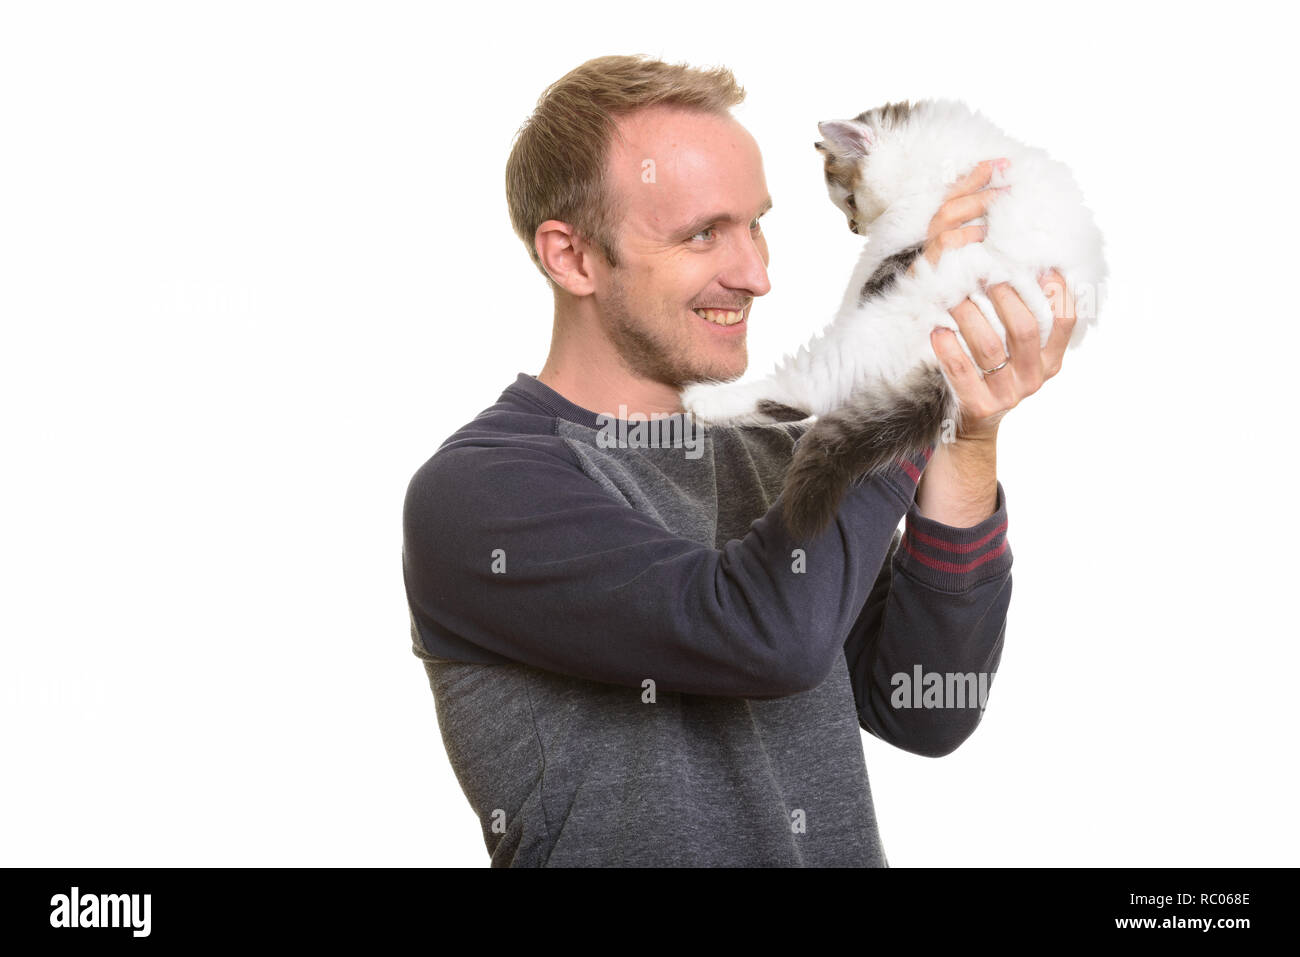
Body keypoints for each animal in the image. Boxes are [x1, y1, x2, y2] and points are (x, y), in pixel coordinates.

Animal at [681, 102, 1107, 546]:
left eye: (851, 200)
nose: (854, 228)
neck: (940, 155)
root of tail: (941, 373)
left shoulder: (897, 237)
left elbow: (865, 277)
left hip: (872, 331)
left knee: (808, 391)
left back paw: (702, 402)